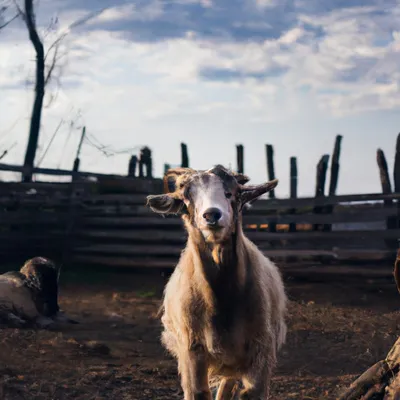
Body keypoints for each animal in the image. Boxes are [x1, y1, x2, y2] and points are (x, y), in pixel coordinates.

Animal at [147, 164, 288, 398]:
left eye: (232, 193)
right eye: (187, 197)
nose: (212, 214)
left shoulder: (262, 349)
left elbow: (251, 392)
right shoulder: (192, 349)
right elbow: (198, 391)